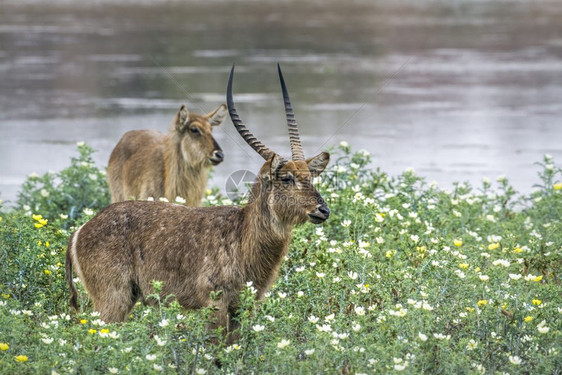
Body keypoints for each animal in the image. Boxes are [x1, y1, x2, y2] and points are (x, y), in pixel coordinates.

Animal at [65, 64, 328, 340]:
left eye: (310, 176)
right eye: (286, 178)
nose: (323, 210)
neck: (242, 234)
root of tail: (80, 230)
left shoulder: (241, 307)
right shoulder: (215, 304)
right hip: (112, 299)